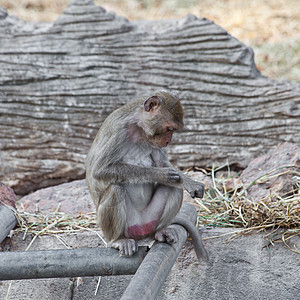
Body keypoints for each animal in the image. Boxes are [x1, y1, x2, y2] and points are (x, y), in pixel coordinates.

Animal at [86, 90, 209, 262]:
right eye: (169, 128)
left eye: (173, 130)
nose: (168, 141)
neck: (139, 128)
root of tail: (141, 231)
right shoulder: (118, 130)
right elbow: (100, 169)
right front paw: (160, 175)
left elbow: (162, 163)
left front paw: (189, 182)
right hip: (128, 226)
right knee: (115, 189)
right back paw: (118, 240)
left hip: (150, 219)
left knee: (173, 188)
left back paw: (160, 231)